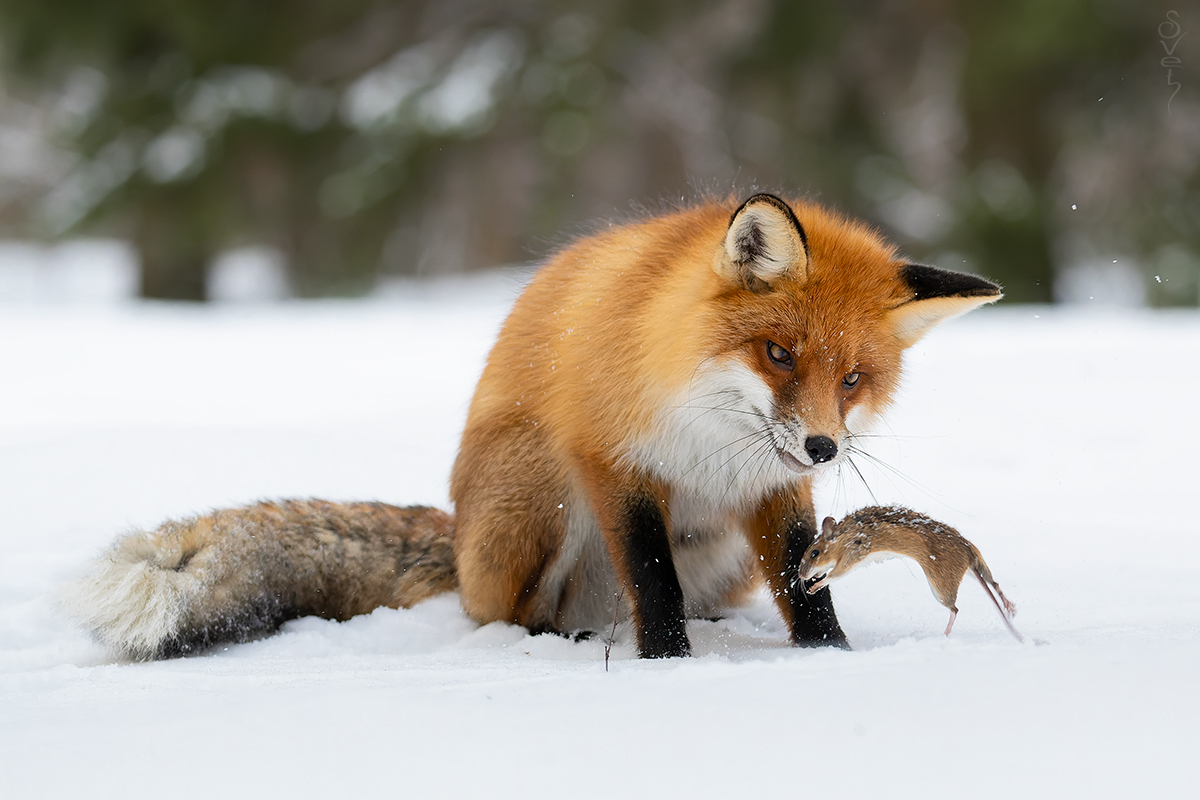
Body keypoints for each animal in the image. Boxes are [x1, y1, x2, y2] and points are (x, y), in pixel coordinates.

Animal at [65, 194, 1003, 657]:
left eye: (852, 379)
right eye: (777, 354)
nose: (821, 444)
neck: (707, 438)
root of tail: (455, 537)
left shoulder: (773, 488)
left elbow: (806, 586)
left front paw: (831, 662)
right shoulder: (611, 460)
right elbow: (652, 581)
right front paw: (668, 665)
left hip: (719, 552)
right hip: (540, 489)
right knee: (503, 614)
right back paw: (564, 638)